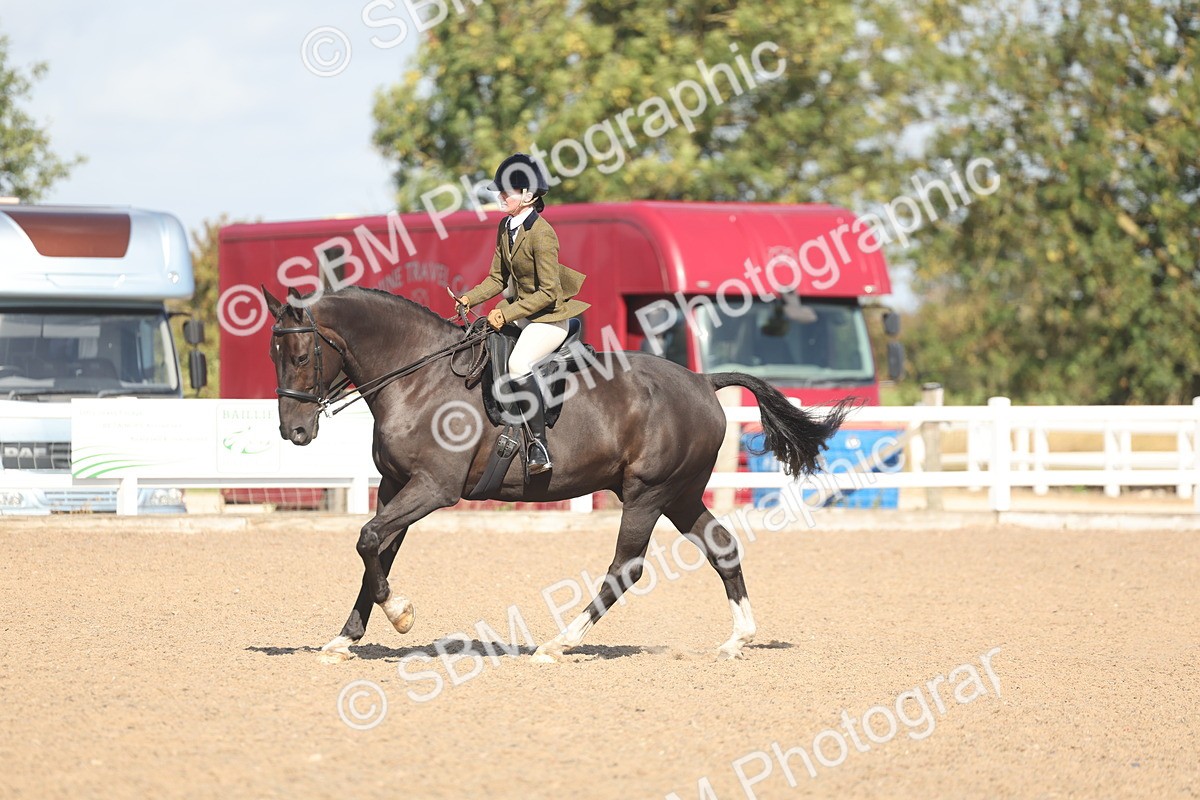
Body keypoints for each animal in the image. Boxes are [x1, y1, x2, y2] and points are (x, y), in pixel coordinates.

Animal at [263, 286, 849, 663]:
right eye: (274, 353)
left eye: (300, 355)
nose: (294, 431)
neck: (419, 378)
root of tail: (703, 381)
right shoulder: (393, 487)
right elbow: (376, 553)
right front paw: (345, 638)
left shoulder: (433, 488)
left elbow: (367, 540)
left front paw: (401, 614)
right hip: (680, 495)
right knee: (722, 547)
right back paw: (737, 639)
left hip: (647, 494)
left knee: (625, 568)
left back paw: (559, 643)